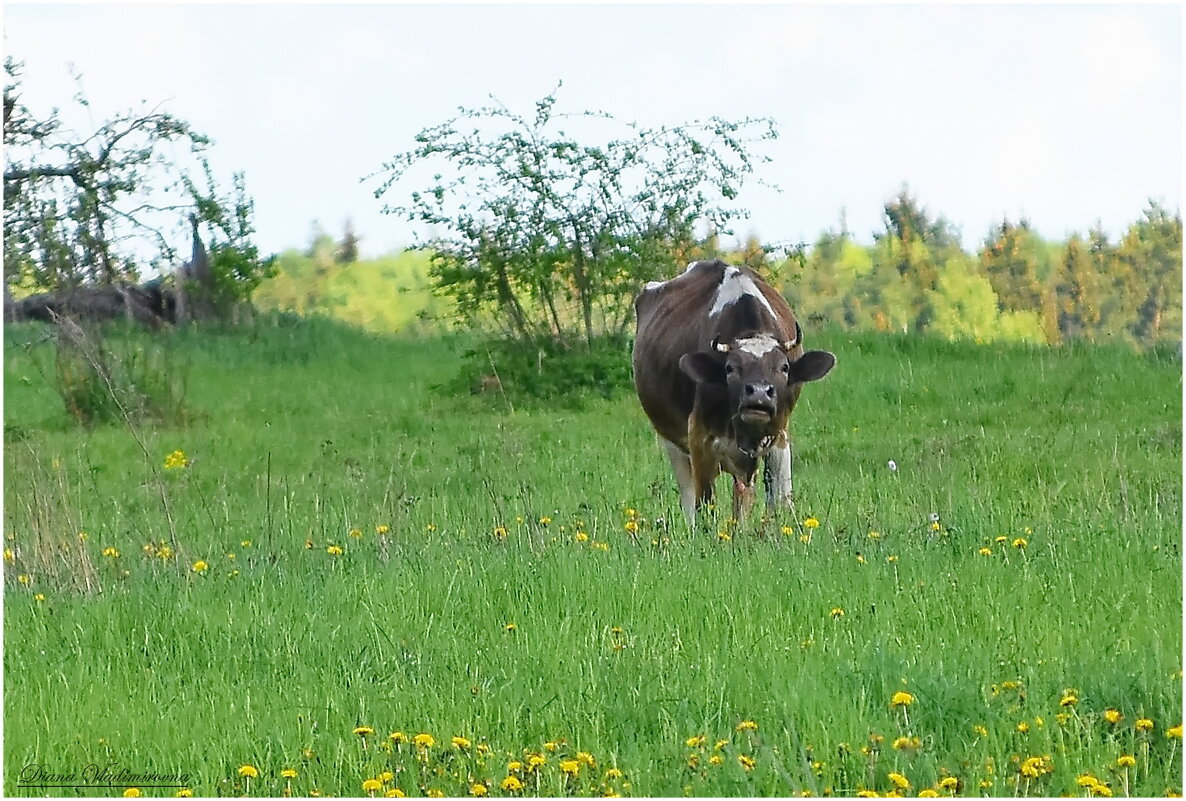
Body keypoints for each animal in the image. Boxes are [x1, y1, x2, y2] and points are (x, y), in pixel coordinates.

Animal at [630, 259, 834, 526]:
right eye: (730, 368)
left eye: (784, 367)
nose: (758, 393)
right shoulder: (700, 438)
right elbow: (705, 504)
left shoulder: (779, 435)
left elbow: (778, 497)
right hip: (670, 438)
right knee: (688, 494)